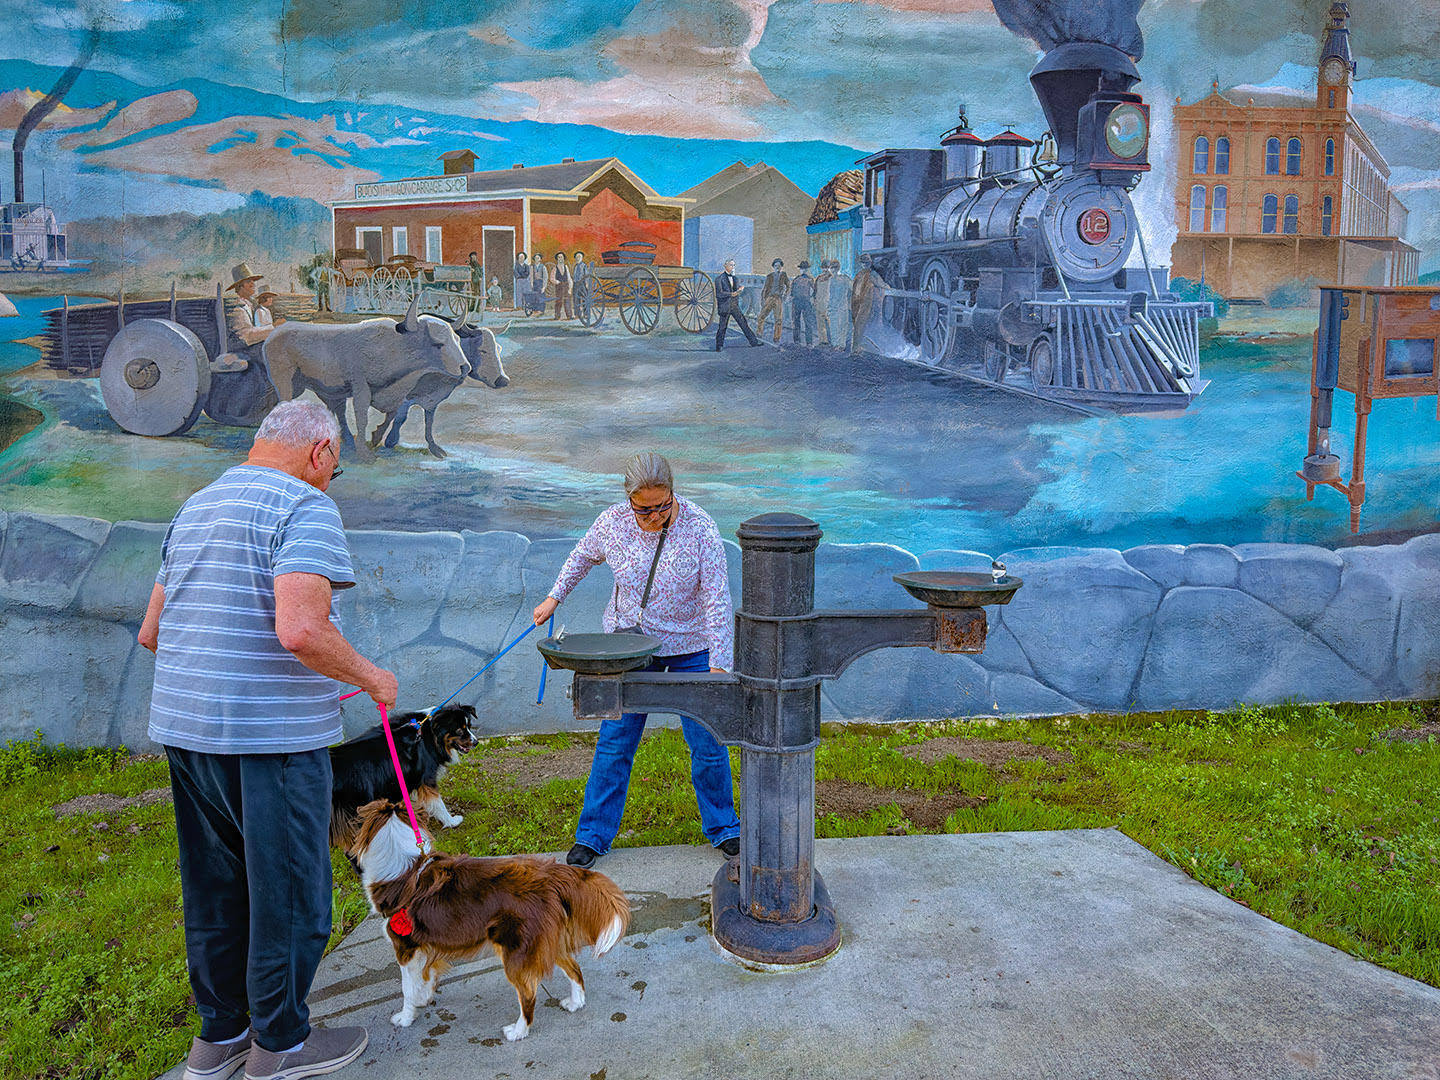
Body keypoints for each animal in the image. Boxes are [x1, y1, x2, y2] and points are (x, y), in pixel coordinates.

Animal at [328, 705, 478, 858]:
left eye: (469, 726)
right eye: (459, 731)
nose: (476, 742)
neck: (430, 733)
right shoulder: (426, 778)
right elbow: (438, 803)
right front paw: (452, 821)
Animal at [348, 806, 630, 1042]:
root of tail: (550, 876)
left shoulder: (405, 946)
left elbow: (407, 988)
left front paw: (406, 1017)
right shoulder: (426, 945)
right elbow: (426, 977)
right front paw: (424, 998)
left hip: (515, 951)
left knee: (528, 995)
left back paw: (518, 1031)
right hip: (546, 942)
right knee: (574, 969)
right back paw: (575, 1002)